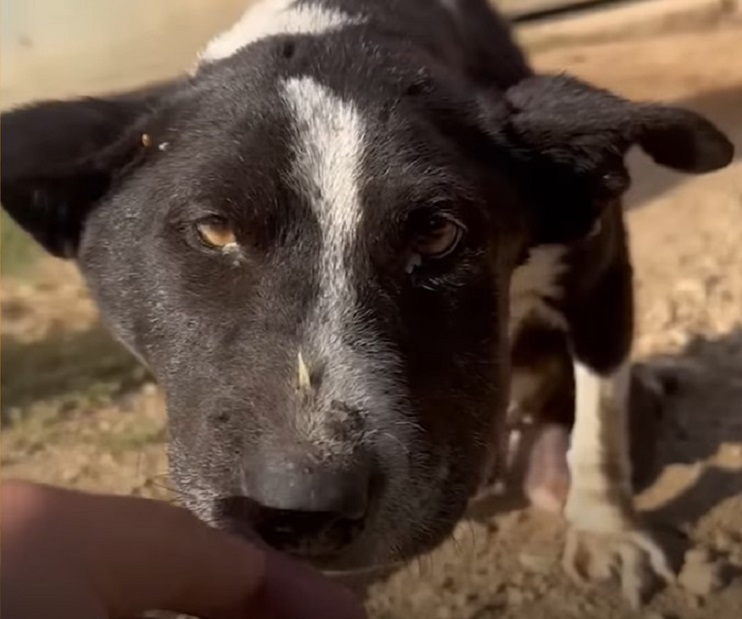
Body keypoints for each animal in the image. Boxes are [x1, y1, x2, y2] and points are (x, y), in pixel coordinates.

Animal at [1, 0, 732, 612]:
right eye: (213, 230)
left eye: (438, 233)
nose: (303, 510)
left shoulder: (598, 274)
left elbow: (600, 422)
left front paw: (609, 530)